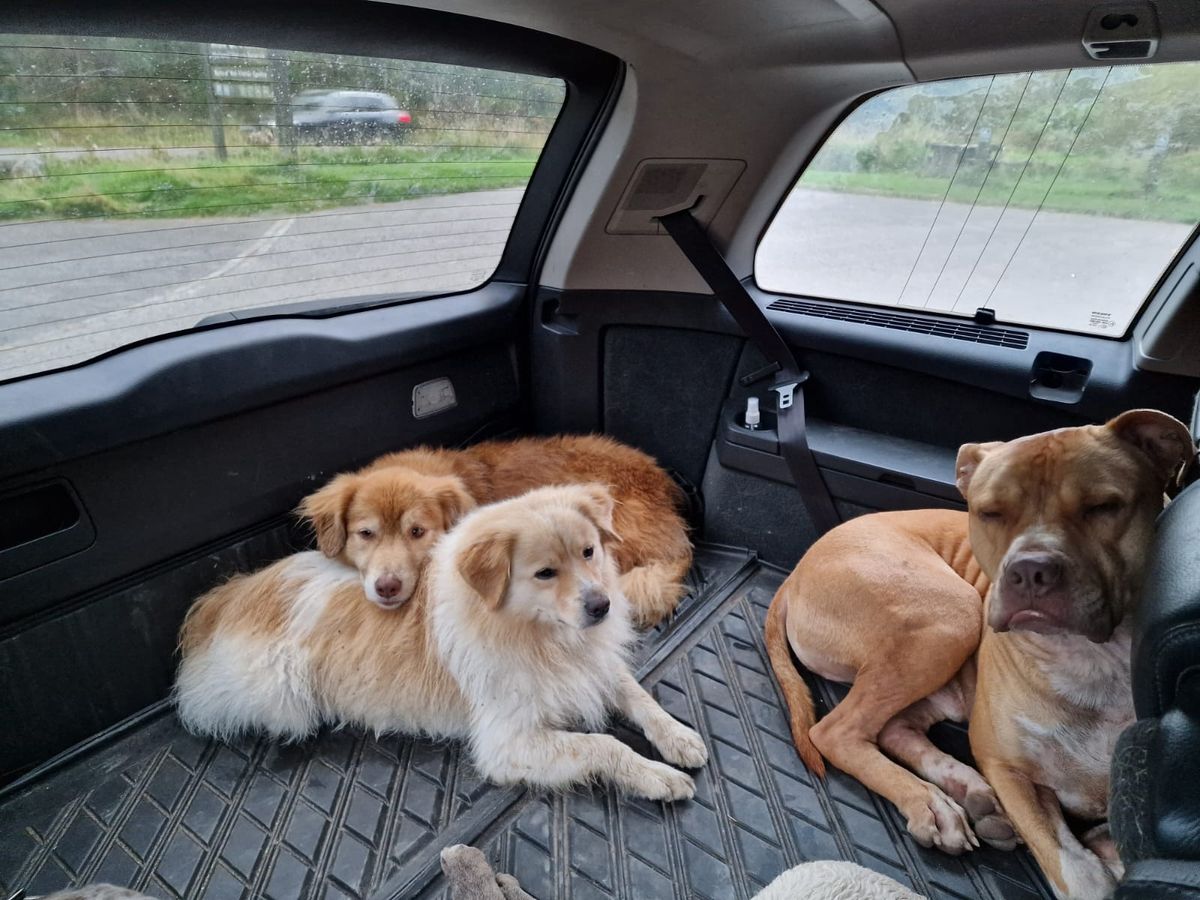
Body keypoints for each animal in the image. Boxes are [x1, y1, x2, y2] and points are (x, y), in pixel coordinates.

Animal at [174, 482, 705, 801]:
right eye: (545, 573)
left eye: (589, 551)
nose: (601, 606)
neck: (540, 634)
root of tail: (225, 599)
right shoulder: (508, 742)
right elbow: (603, 746)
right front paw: (655, 776)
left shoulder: (595, 670)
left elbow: (640, 698)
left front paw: (677, 736)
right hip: (283, 698)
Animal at [763, 410, 1195, 900]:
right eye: (990, 513)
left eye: (1103, 506)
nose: (1031, 570)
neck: (1090, 661)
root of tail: (795, 573)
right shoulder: (1007, 767)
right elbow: (1074, 870)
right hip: (953, 613)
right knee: (837, 731)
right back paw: (929, 802)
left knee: (891, 728)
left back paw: (966, 791)